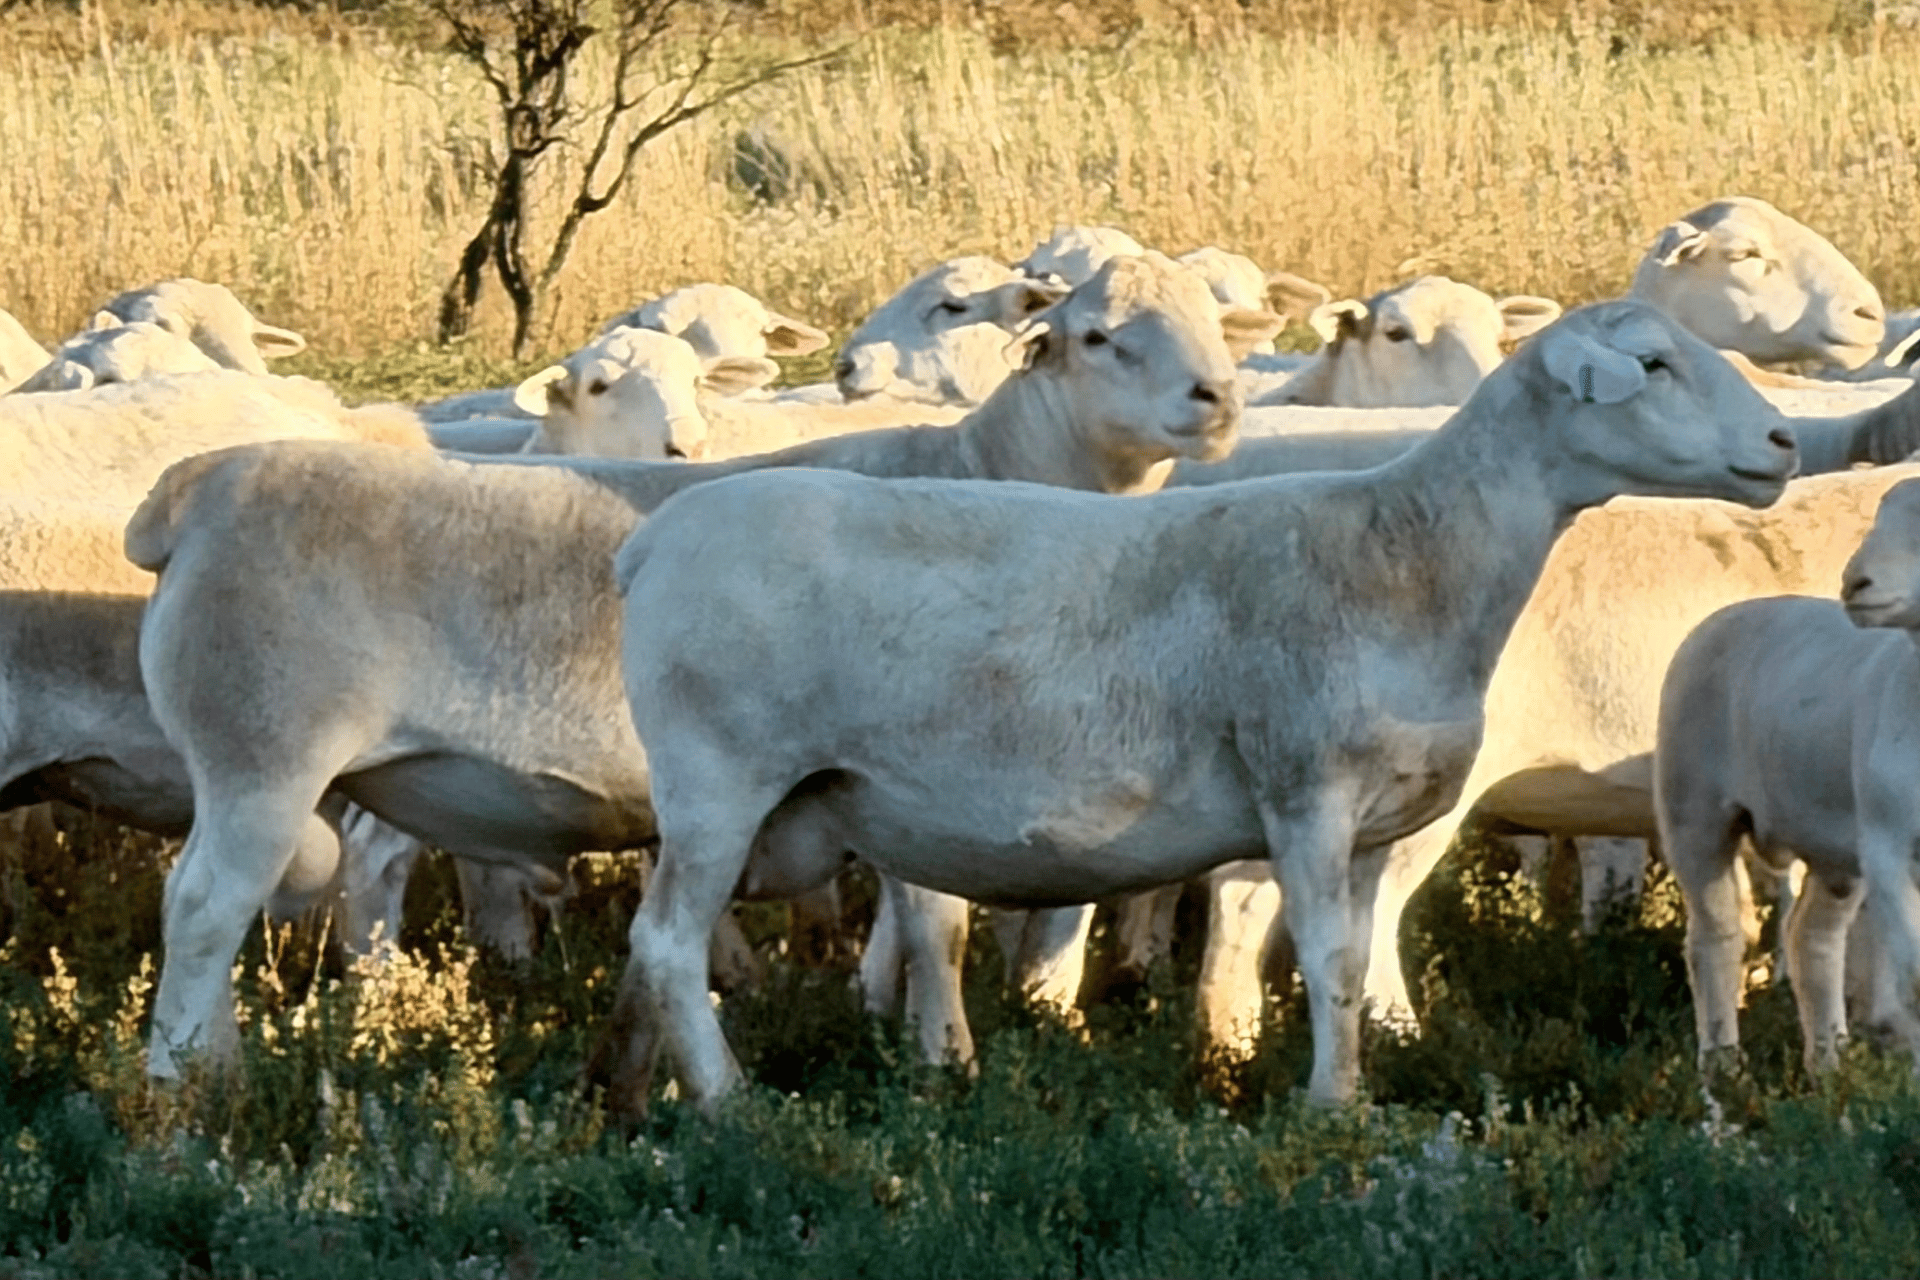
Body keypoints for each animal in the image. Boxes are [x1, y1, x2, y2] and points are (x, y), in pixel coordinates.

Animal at [122, 253, 1285, 1079]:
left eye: (1212, 322)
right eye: (1097, 334)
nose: (1216, 397)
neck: (990, 467)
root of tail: (196, 490)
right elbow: (938, 922)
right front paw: (944, 1056)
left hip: (370, 768)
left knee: (294, 886)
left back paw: (262, 1049)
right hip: (262, 753)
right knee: (208, 905)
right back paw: (189, 1090)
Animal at [600, 300, 1798, 1114]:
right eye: (1653, 364)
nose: (1785, 445)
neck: (1409, 551)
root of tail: (652, 543)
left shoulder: (1378, 819)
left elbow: (1357, 960)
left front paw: (1357, 1081)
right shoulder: (1305, 791)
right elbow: (1328, 959)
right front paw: (1331, 1111)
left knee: (655, 949)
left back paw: (631, 1094)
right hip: (719, 778)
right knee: (665, 940)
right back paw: (729, 1104)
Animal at [1653, 476, 1920, 1077]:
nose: (1854, 582)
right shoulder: (1888, 849)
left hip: (1832, 848)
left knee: (1812, 941)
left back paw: (1828, 1071)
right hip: (1693, 812)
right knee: (1715, 939)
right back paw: (1722, 1077)